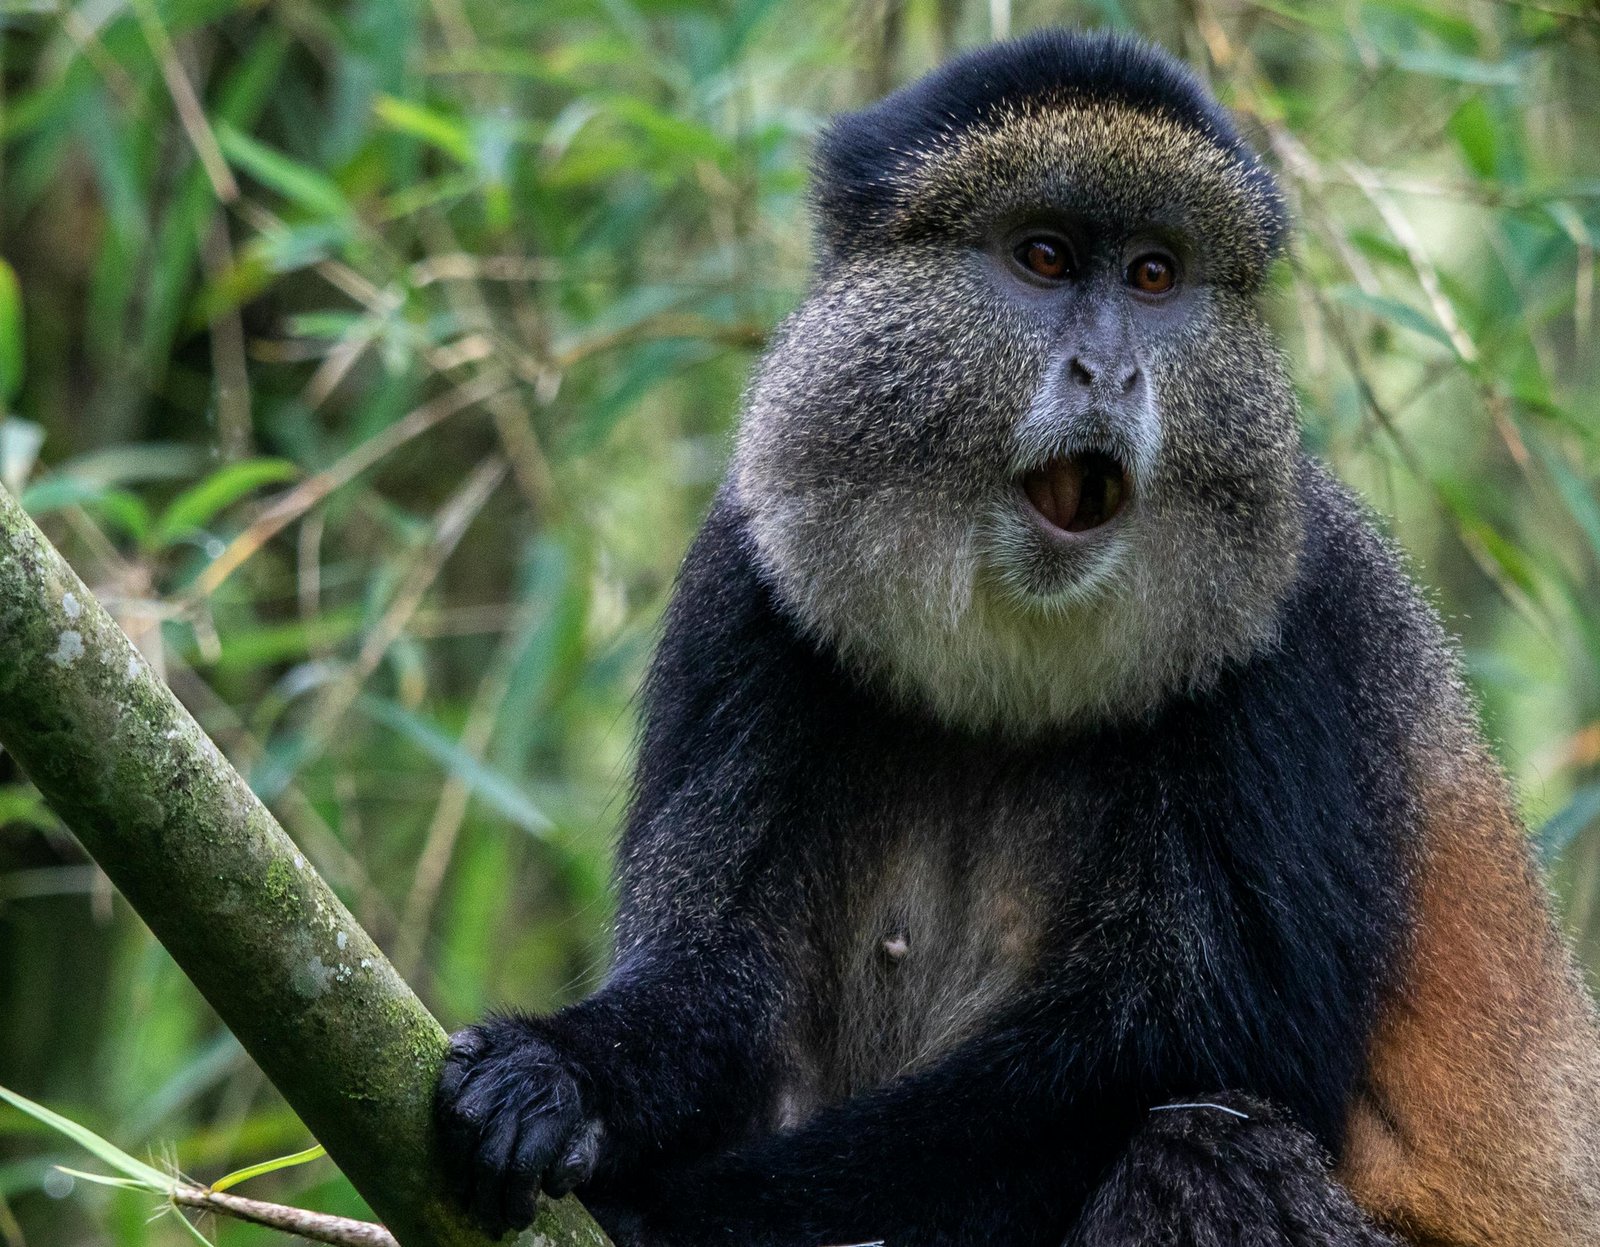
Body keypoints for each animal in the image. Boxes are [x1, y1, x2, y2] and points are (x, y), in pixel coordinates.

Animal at [433, 29, 1600, 1247]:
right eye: (1043, 256)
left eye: (1153, 275)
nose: (1111, 371)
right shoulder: (744, 578)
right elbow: (715, 974)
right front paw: (558, 1075)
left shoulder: (1303, 634)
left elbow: (1184, 1056)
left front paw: (664, 1211)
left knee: (1202, 1149)